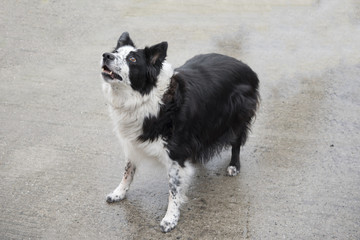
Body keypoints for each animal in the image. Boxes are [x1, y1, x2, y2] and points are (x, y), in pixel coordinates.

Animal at [100, 32, 258, 232]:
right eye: (115, 52)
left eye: (132, 59)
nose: (106, 55)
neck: (146, 98)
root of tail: (245, 67)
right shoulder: (133, 141)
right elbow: (128, 170)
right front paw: (118, 193)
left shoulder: (175, 154)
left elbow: (173, 190)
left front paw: (170, 218)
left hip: (237, 116)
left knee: (236, 142)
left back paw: (234, 166)